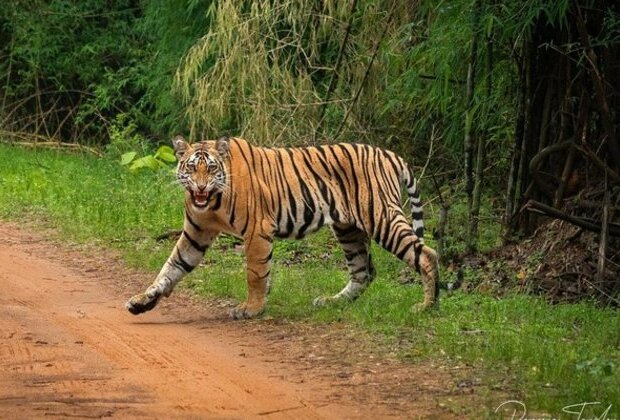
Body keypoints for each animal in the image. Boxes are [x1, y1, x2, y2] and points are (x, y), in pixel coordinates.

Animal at [126, 137, 438, 318]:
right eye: (191, 168)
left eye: (211, 168)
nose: (200, 187)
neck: (211, 202)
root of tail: (390, 154)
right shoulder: (196, 234)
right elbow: (170, 268)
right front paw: (142, 301)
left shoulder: (257, 230)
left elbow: (255, 273)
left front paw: (251, 309)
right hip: (348, 228)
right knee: (364, 271)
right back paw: (331, 302)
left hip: (381, 216)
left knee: (426, 254)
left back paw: (427, 306)